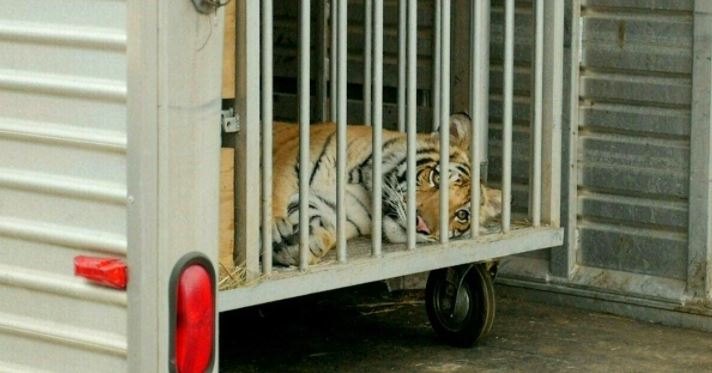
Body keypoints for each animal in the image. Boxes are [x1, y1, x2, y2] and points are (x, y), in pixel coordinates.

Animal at [272, 112, 500, 266]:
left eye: (462, 215)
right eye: (436, 178)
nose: (422, 227)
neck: (362, 182)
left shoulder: (330, 206)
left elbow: (325, 229)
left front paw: (299, 245)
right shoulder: (284, 172)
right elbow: (272, 200)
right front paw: (277, 230)